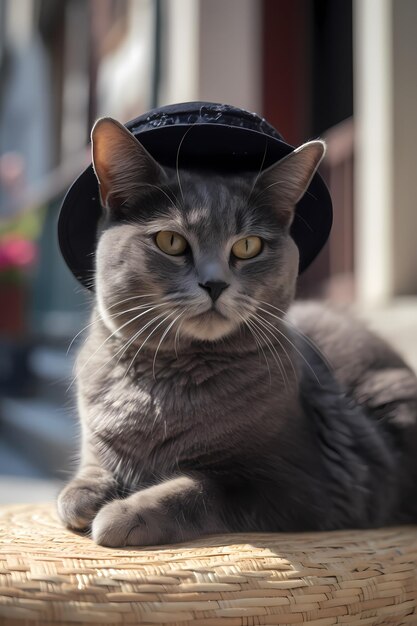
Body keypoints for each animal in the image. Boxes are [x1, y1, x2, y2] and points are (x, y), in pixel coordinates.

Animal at [57, 117, 416, 544]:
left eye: (248, 246)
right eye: (171, 241)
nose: (215, 284)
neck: (166, 386)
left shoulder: (298, 484)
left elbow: (196, 489)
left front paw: (125, 514)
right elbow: (82, 480)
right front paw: (85, 493)